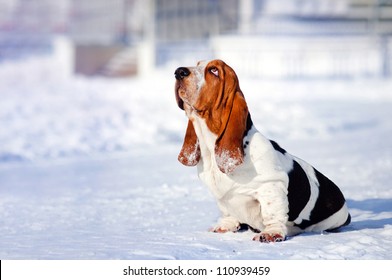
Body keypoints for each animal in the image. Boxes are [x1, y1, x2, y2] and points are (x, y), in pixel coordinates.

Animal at [174, 59, 350, 243]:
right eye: (197, 64)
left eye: (214, 70)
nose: (179, 72)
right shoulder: (222, 197)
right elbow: (227, 212)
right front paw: (224, 227)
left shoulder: (272, 185)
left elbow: (272, 212)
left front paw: (271, 234)